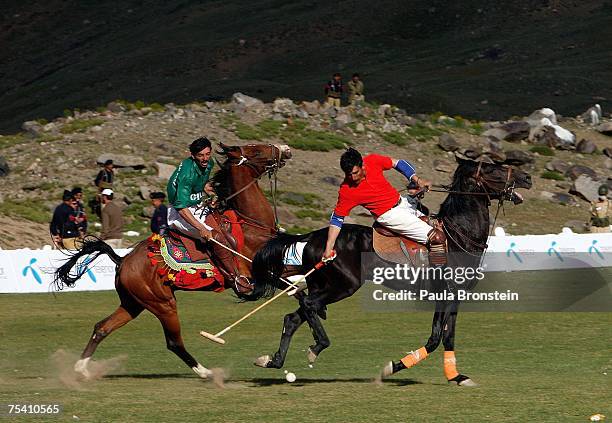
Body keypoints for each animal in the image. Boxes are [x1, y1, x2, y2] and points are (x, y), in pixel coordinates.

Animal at [53, 144, 292, 380]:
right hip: (163, 304)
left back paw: (81, 368)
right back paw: (206, 372)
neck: (250, 223)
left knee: (102, 327)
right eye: (257, 150)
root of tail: (122, 260)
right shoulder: (267, 270)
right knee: (173, 342)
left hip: (134, 303)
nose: (286, 149)